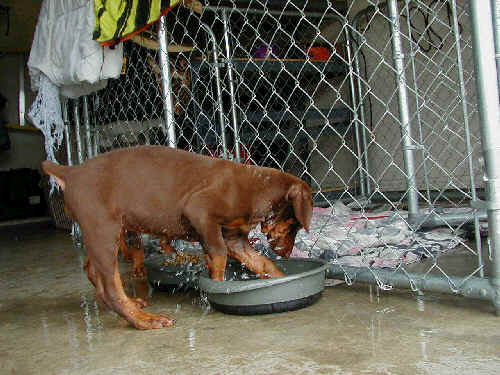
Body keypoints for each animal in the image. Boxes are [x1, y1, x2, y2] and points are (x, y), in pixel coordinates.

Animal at [43, 145, 310, 330]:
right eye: (295, 225)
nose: (287, 253)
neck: (255, 187)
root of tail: (70, 172)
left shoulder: (234, 237)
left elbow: (262, 263)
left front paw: (282, 278)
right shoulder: (200, 210)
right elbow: (219, 255)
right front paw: (218, 284)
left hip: (108, 231)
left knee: (91, 269)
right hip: (103, 228)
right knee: (111, 286)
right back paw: (144, 320)